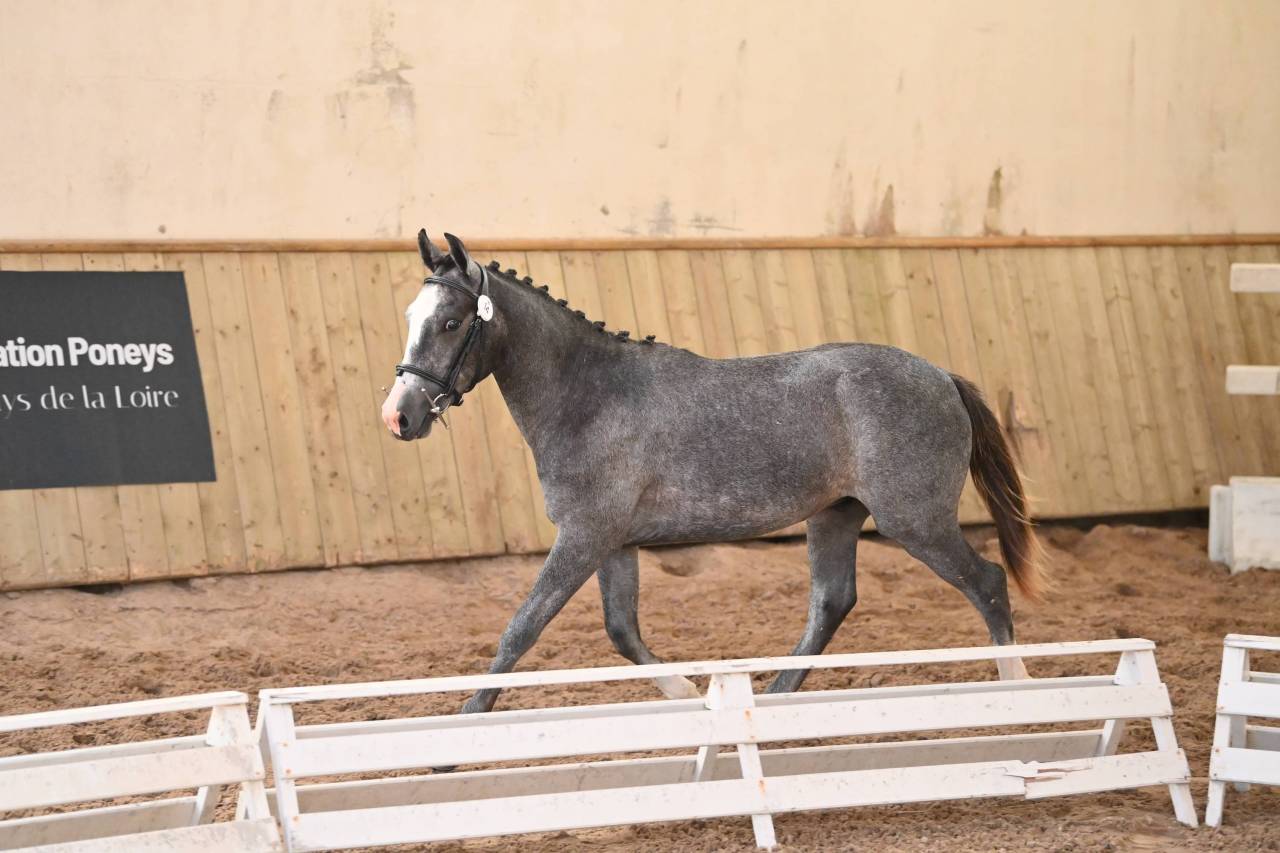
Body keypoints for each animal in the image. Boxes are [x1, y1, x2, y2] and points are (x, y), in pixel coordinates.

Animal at [381, 230, 1045, 714]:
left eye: (450, 322)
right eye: (410, 316)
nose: (399, 415)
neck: (589, 396)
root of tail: (942, 377)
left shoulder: (584, 536)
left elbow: (521, 629)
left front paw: (458, 737)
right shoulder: (613, 542)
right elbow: (622, 631)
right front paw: (696, 696)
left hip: (915, 520)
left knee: (987, 582)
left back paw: (1019, 690)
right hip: (835, 515)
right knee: (832, 603)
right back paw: (772, 703)